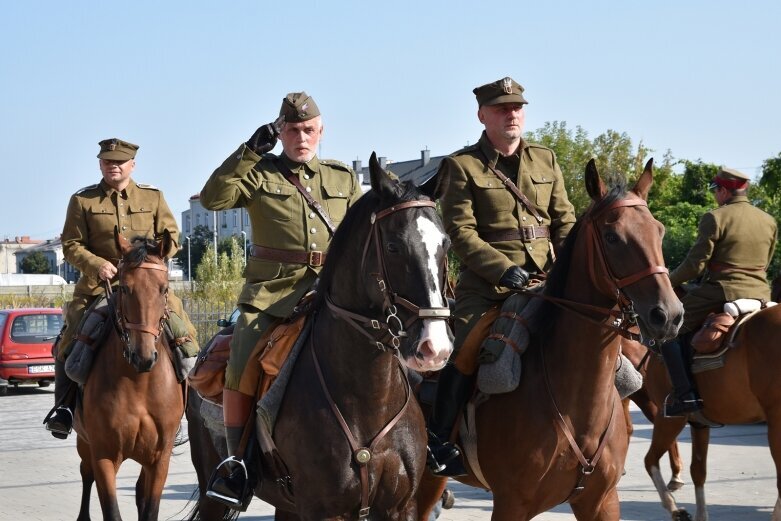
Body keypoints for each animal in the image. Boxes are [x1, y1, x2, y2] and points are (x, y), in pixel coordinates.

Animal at [72, 233, 184, 520]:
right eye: (124, 289)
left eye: (163, 289)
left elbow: (150, 507)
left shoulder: (159, 458)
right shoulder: (104, 455)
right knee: (85, 475)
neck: (139, 383)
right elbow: (111, 510)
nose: (143, 357)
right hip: (84, 443)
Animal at [187, 152, 454, 516]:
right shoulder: (323, 510)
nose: (434, 347)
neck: (368, 397)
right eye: (393, 246)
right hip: (212, 493)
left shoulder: (401, 507)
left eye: (446, 245)